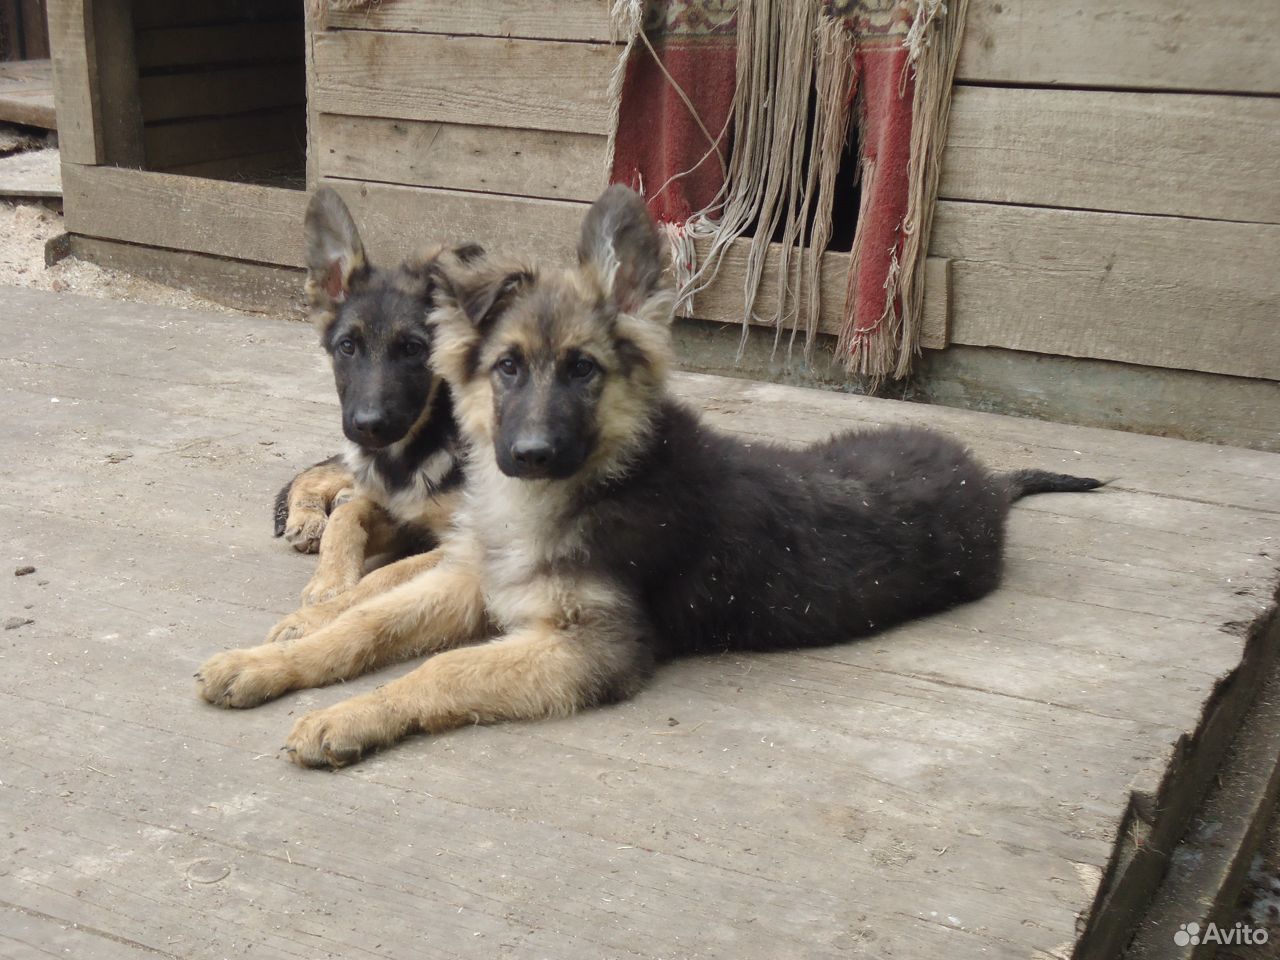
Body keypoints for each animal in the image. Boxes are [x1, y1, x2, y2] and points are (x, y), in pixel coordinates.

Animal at [264, 188, 481, 640]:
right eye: (347, 347)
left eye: (413, 349)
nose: (367, 426)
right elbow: (347, 520)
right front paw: (329, 582)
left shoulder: (458, 544)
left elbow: (381, 580)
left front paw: (311, 619)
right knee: (324, 474)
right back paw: (309, 516)